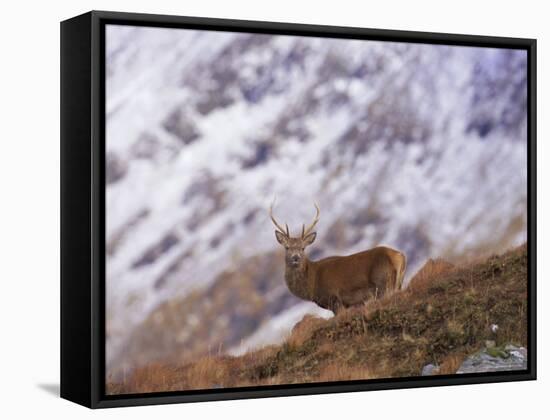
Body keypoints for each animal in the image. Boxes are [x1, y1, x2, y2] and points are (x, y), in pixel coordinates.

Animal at [270, 202, 408, 314]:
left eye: (303, 248)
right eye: (287, 247)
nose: (295, 258)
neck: (312, 283)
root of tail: (400, 255)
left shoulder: (334, 298)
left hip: (384, 283)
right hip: (398, 282)